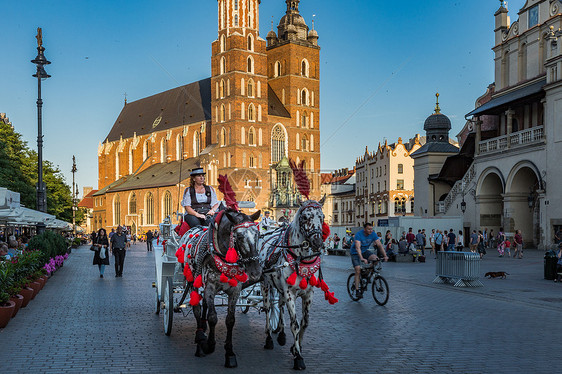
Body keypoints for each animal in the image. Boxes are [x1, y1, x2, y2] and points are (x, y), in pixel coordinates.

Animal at [177, 210, 260, 368]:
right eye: (239, 237)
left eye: (258, 234)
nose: (256, 271)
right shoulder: (210, 287)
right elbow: (212, 317)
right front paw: (209, 345)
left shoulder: (235, 291)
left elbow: (230, 320)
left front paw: (230, 353)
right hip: (193, 281)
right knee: (197, 309)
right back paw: (199, 339)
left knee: (203, 306)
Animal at [258, 197, 324, 370]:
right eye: (305, 217)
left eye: (321, 217)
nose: (318, 242)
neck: (300, 259)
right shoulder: (290, 293)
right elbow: (294, 324)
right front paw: (298, 357)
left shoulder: (308, 294)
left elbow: (305, 322)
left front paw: (295, 347)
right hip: (265, 284)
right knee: (268, 308)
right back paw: (269, 338)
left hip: (279, 288)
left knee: (279, 306)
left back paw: (280, 333)